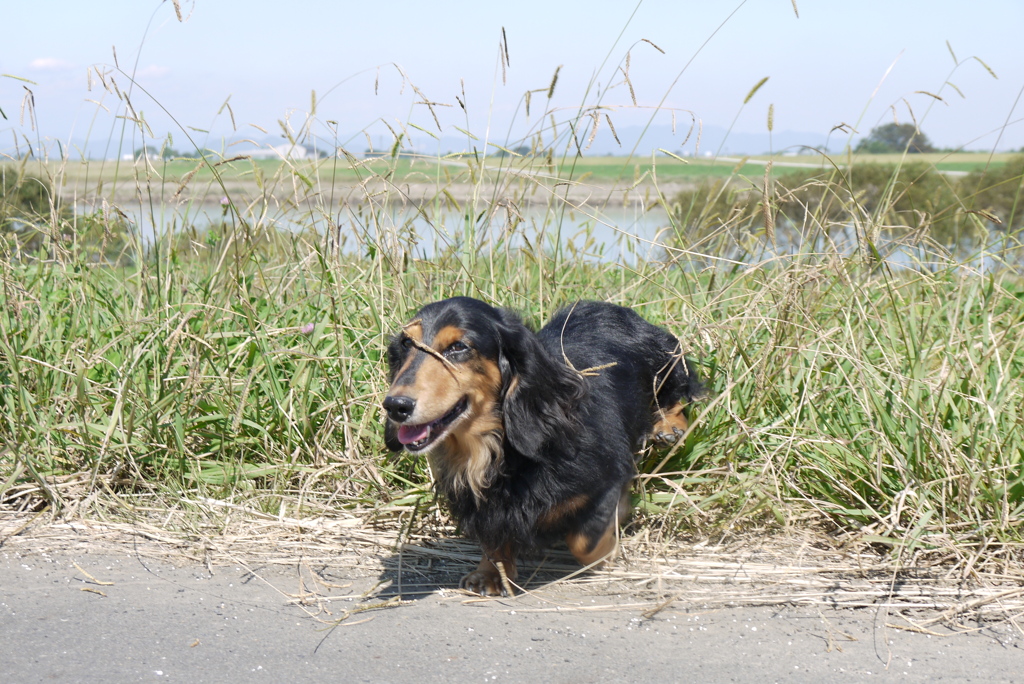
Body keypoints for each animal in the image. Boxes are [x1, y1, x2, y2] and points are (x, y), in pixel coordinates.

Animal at [380, 296, 700, 593]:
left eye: (458, 347)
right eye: (406, 343)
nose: (395, 406)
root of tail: (612, 307)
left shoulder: (609, 474)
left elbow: (584, 541)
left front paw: (611, 544)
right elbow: (493, 535)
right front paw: (491, 573)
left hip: (666, 363)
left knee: (680, 394)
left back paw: (668, 426)